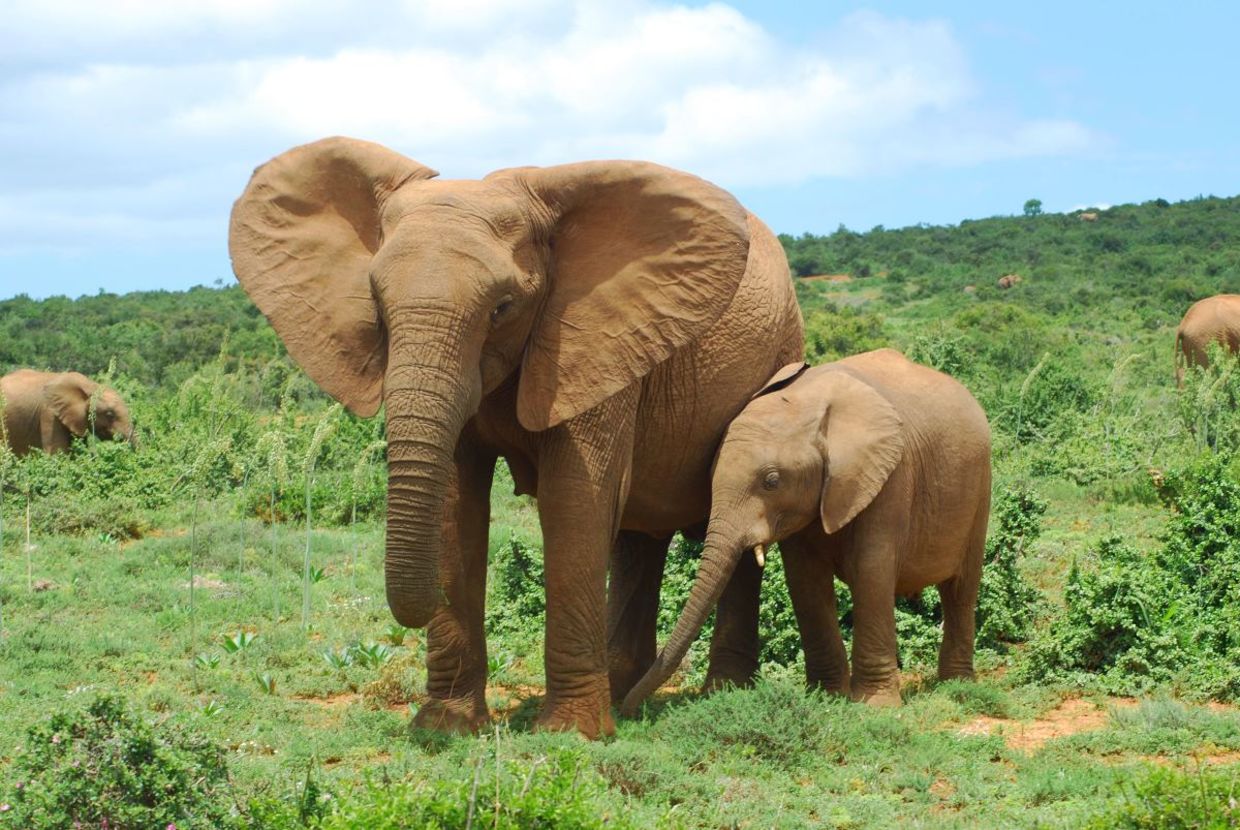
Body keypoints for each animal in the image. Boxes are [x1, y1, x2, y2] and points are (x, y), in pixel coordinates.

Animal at [230, 137, 803, 739]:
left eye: (502, 308)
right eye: (377, 306)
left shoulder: (588, 341)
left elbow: (573, 501)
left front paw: (569, 734)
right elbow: (456, 504)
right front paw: (445, 727)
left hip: (779, 353)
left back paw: (720, 694)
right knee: (636, 537)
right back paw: (625, 693)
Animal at [624, 349, 992, 714]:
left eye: (772, 481)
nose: (629, 709)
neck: (808, 402)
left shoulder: (891, 476)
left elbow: (872, 570)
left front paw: (875, 707)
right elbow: (805, 579)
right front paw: (827, 696)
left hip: (980, 488)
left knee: (961, 589)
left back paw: (956, 685)